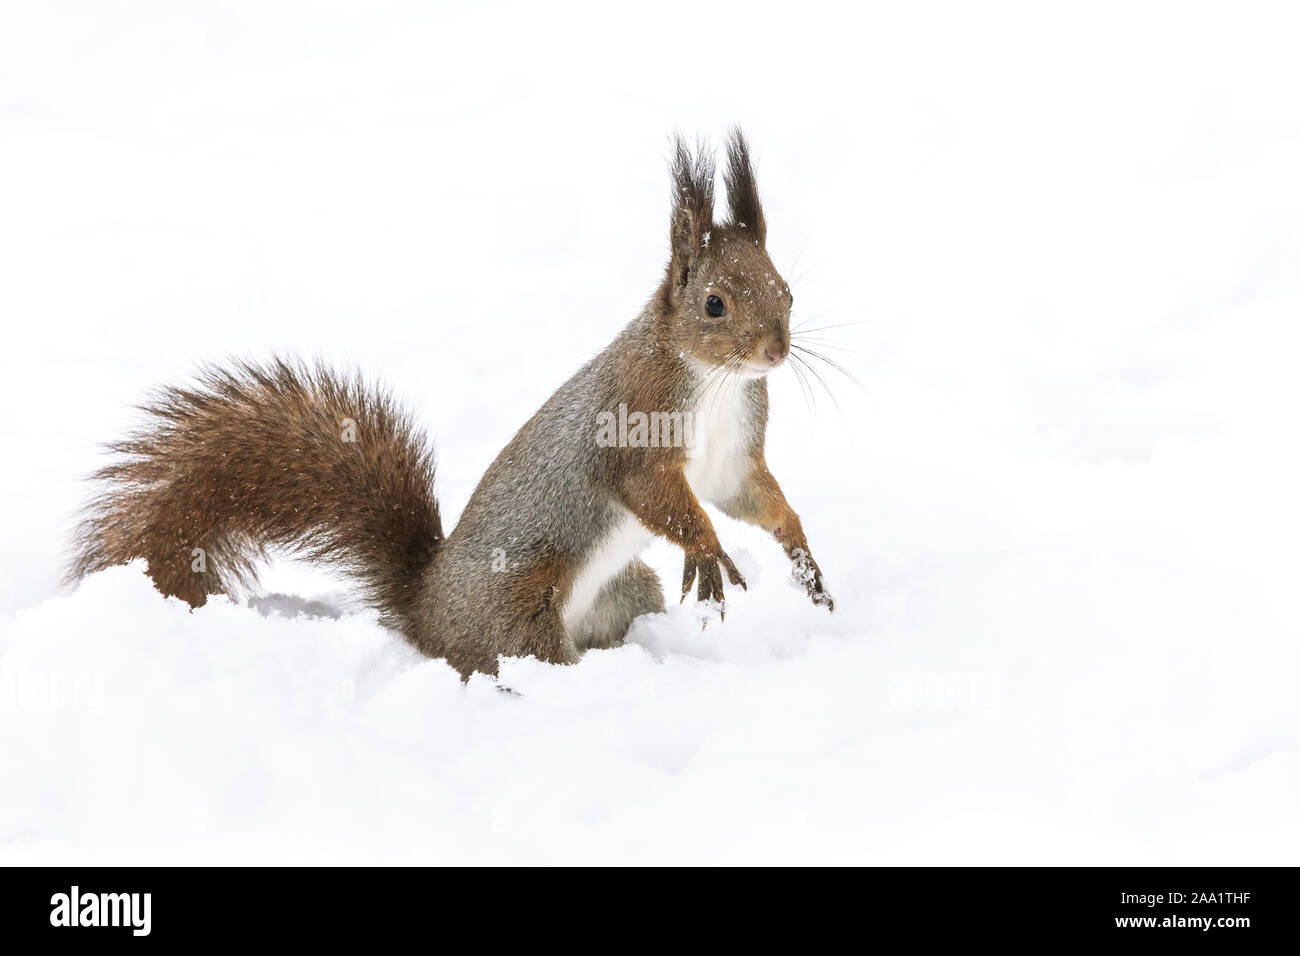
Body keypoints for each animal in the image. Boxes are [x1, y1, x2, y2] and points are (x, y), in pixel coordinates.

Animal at [68, 129, 834, 679]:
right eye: (714, 304)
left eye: (788, 290)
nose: (775, 352)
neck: (715, 382)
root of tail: (425, 609)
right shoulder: (634, 422)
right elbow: (654, 491)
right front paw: (707, 549)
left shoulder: (732, 455)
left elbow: (750, 497)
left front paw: (801, 551)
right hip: (519, 603)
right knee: (512, 656)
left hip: (625, 588)